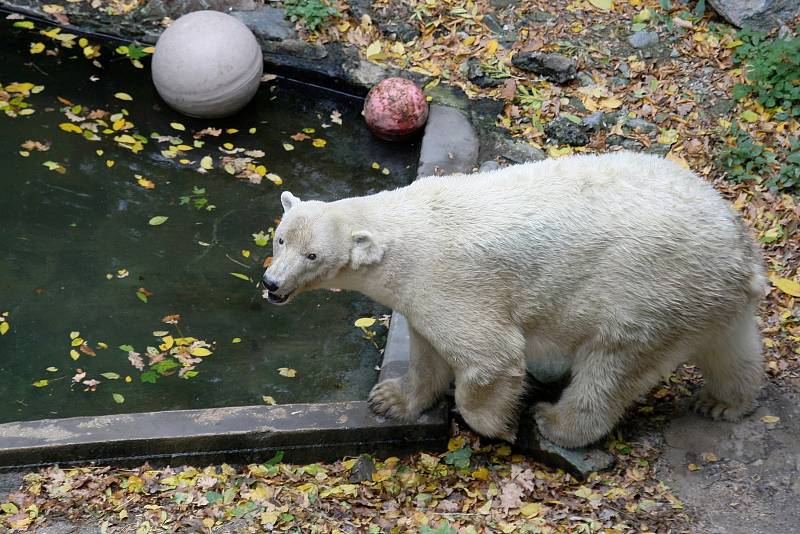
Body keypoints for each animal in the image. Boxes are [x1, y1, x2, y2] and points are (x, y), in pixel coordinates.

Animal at [260, 153, 764, 450]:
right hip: (704, 297)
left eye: (312, 255)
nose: (270, 283)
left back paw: (555, 422)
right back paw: (723, 403)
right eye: (280, 238)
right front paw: (391, 398)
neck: (404, 233)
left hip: (649, 288)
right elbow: (426, 350)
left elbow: (491, 357)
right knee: (729, 346)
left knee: (612, 363)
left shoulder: (449, 280)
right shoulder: (420, 294)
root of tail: (742, 255)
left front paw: (499, 424)